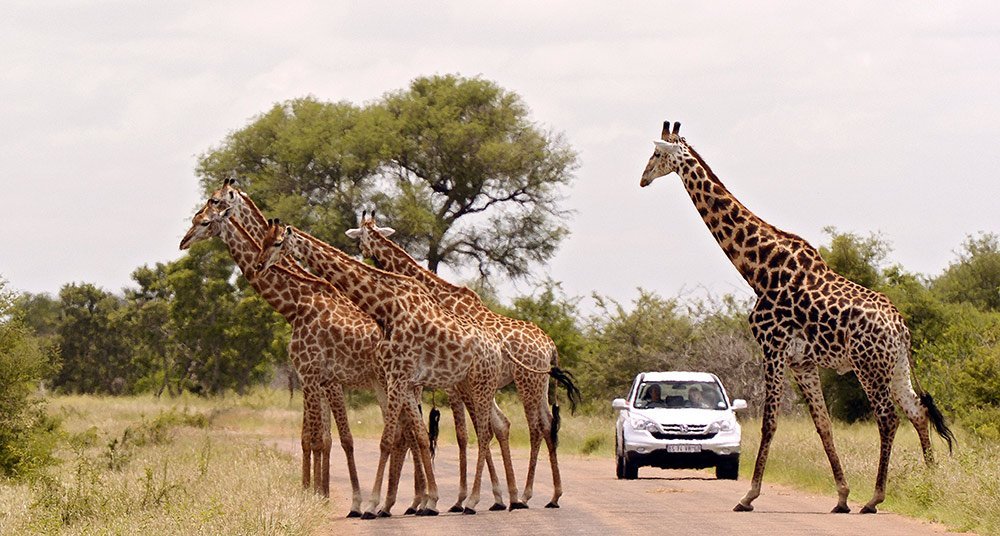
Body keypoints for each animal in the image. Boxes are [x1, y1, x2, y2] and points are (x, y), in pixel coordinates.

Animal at [348, 211, 584, 508]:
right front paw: (487, 496)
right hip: (539, 384)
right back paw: (552, 495)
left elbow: (464, 434)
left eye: (361, 237)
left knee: (535, 427)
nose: (362, 254)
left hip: (526, 381)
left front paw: (463, 498)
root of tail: (550, 346)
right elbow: (482, 428)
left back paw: (528, 494)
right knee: (547, 424)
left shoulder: (452, 384)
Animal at [640, 119, 952, 512]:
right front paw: (841, 496)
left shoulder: (772, 347)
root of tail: (900, 327)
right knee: (917, 410)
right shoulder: (802, 361)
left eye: (655, 154)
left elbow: (769, 423)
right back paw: (932, 484)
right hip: (895, 365)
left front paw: (748, 496)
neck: (759, 270)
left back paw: (875, 497)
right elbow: (823, 424)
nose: (642, 179)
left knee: (888, 417)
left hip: (868, 365)